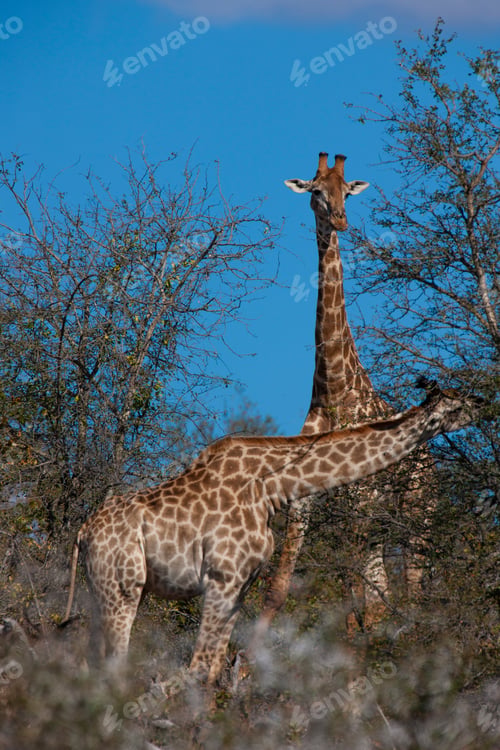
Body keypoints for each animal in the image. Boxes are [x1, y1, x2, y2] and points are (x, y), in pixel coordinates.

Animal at [63, 381, 481, 686]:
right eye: (456, 403)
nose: (483, 400)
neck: (271, 489)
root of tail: (83, 532)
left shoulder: (241, 584)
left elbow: (213, 672)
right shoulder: (222, 578)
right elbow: (197, 668)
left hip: (100, 588)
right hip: (123, 587)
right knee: (113, 663)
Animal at [250, 152, 426, 649]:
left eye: (347, 190)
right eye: (315, 191)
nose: (342, 221)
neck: (332, 391)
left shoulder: (358, 498)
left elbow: (356, 595)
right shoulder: (304, 501)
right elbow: (279, 587)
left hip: (417, 507)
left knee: (417, 582)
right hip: (384, 520)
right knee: (389, 589)